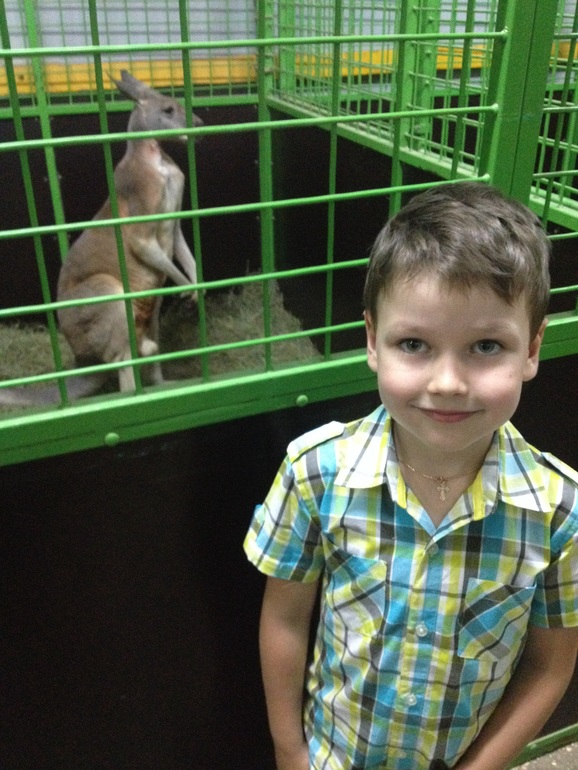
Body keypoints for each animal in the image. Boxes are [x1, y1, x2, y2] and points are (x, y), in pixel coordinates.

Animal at [0, 70, 203, 406]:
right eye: (169, 110)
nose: (199, 125)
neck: (157, 158)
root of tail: (85, 360)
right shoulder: (142, 209)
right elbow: (146, 246)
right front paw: (187, 287)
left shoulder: (173, 223)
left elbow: (182, 248)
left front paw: (198, 285)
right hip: (105, 295)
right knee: (121, 360)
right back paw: (141, 380)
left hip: (150, 311)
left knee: (139, 356)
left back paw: (163, 381)